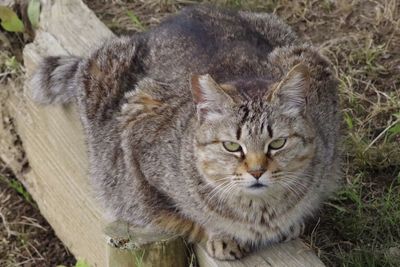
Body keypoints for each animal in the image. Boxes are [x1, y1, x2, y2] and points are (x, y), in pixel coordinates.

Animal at [30, 4, 340, 262]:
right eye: (231, 146)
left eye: (277, 143)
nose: (256, 171)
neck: (261, 211)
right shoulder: (136, 135)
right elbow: (184, 212)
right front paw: (220, 234)